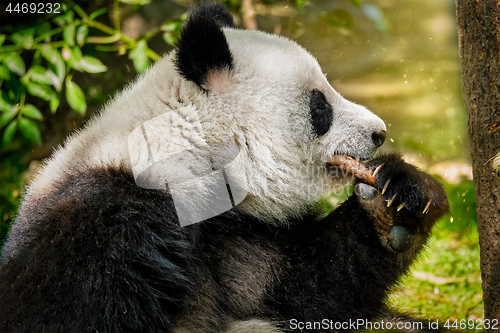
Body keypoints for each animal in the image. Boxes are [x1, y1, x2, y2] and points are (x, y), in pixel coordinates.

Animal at [0, 2, 448, 332]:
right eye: (319, 106)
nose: (379, 133)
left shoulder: (237, 231)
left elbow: (304, 290)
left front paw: (394, 202)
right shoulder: (100, 223)